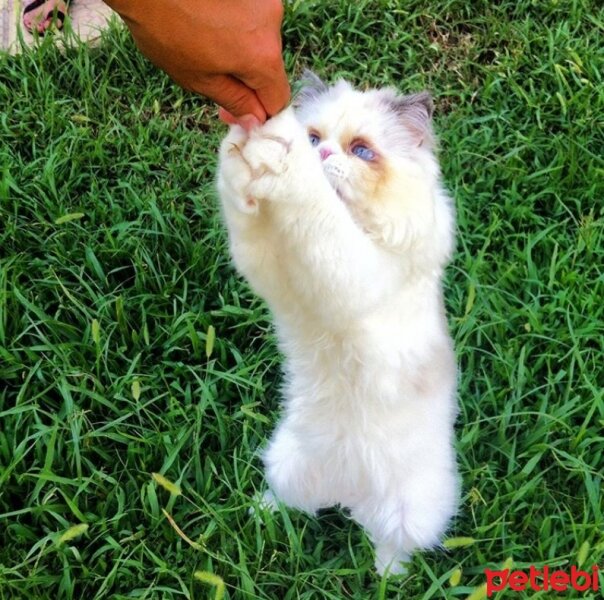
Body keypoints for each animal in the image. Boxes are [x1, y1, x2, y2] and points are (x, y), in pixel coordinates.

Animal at [217, 72, 458, 576]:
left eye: (361, 151)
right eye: (316, 138)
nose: (323, 154)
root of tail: (348, 494)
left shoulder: (350, 271)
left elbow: (315, 209)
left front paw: (282, 156)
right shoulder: (272, 270)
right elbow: (241, 203)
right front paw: (244, 143)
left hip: (409, 514)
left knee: (392, 544)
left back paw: (385, 577)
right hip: (286, 463)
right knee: (292, 504)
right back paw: (257, 514)